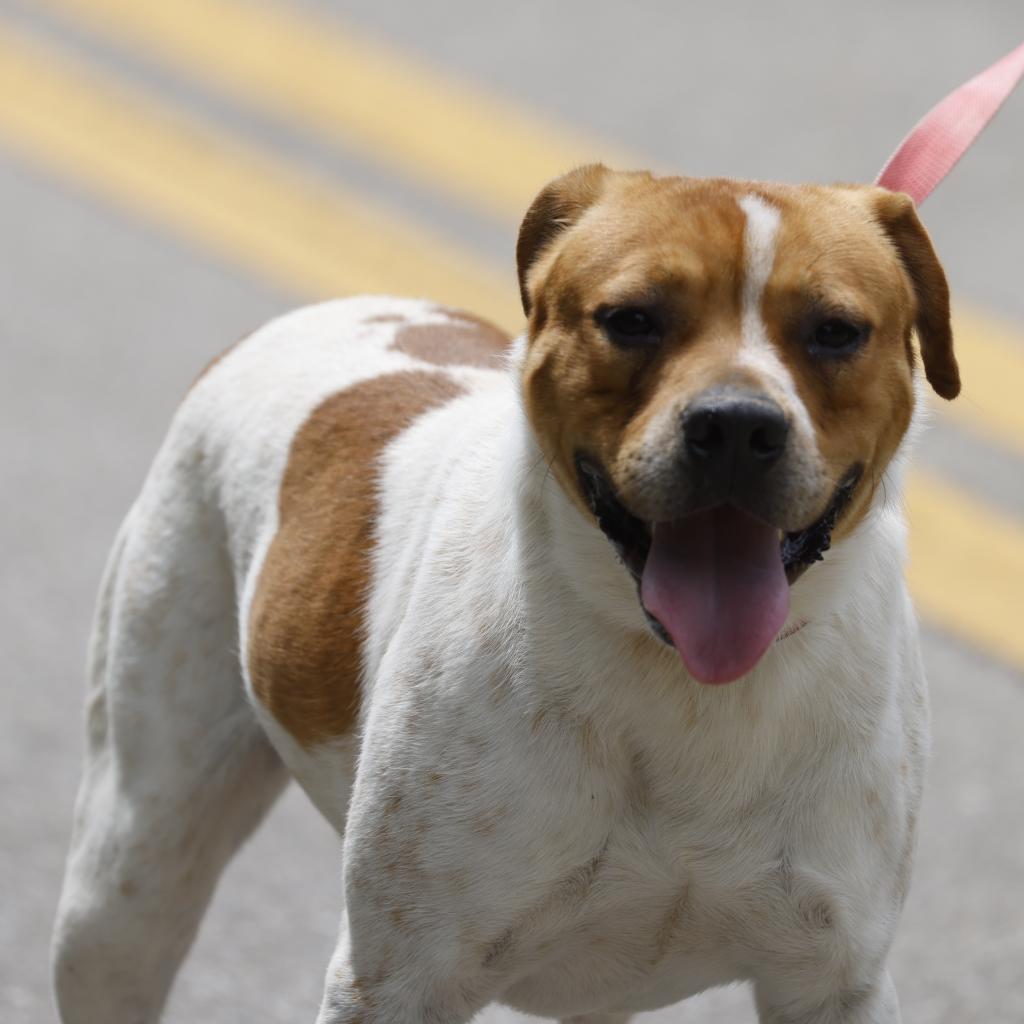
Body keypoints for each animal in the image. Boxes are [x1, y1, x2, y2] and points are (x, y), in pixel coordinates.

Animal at [49, 163, 958, 1019]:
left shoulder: (834, 983)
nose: (735, 425)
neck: (686, 687)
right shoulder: (396, 982)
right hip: (125, 880)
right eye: (631, 319)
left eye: (835, 332)